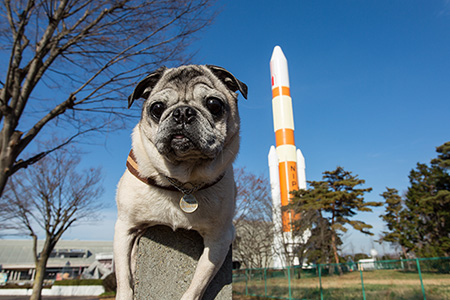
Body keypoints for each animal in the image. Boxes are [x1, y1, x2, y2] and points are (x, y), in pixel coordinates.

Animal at [112, 65, 246, 300]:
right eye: (157, 108)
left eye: (214, 105)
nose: (183, 112)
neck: (183, 182)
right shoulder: (125, 227)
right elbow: (124, 276)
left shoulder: (219, 238)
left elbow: (198, 282)